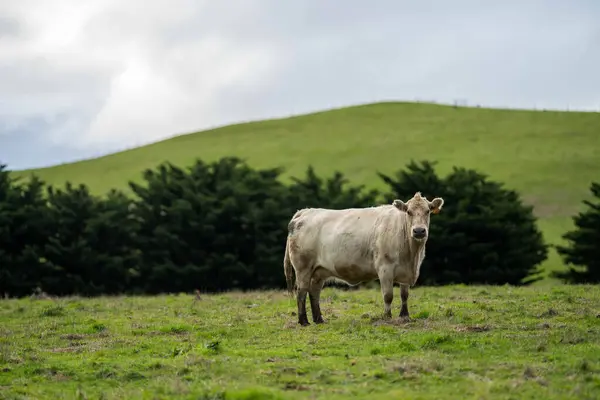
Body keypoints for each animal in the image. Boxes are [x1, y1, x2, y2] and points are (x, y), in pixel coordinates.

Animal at [284, 192, 442, 326]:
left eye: (428, 211)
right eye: (408, 212)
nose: (419, 231)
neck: (412, 255)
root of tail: (306, 211)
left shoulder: (405, 270)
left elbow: (404, 295)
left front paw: (405, 316)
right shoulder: (385, 268)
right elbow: (388, 295)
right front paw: (387, 317)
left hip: (319, 271)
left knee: (314, 292)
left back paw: (319, 319)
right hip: (303, 268)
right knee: (302, 291)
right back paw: (303, 321)